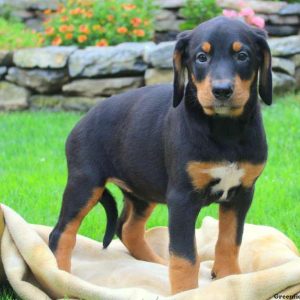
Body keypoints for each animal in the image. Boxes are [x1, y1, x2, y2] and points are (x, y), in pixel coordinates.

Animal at [49, 15, 272, 292]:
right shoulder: (182, 198)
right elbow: (185, 257)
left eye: (242, 55)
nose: (222, 90)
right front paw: (186, 292)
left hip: (142, 190)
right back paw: (61, 278)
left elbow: (230, 242)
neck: (225, 130)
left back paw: (155, 263)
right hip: (85, 183)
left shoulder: (241, 194)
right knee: (61, 234)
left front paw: (231, 279)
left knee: (128, 229)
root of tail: (81, 121)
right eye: (201, 57)